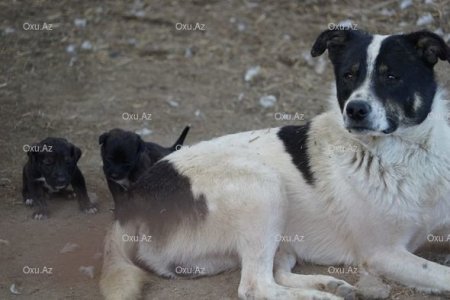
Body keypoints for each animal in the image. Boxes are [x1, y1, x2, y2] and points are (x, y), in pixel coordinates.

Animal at [99, 29, 450, 300]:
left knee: (276, 273)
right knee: (255, 286)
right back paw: (320, 296)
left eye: (392, 76)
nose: (355, 110)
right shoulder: (383, 253)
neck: (406, 155)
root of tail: (132, 201)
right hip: (263, 186)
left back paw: (327, 284)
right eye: (348, 76)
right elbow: (441, 274)